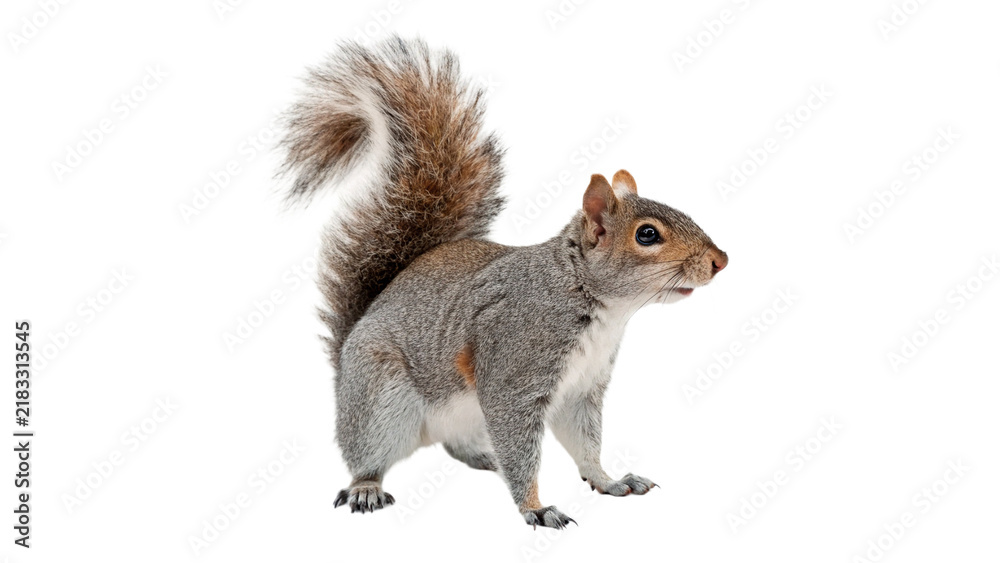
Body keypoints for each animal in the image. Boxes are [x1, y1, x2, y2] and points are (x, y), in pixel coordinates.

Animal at [278, 35, 728, 529]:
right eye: (647, 235)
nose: (720, 260)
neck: (597, 306)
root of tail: (345, 358)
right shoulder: (514, 371)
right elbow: (523, 447)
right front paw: (536, 507)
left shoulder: (581, 389)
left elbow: (585, 442)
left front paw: (609, 480)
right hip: (382, 398)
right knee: (366, 453)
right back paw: (366, 487)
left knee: (457, 445)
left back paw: (483, 456)